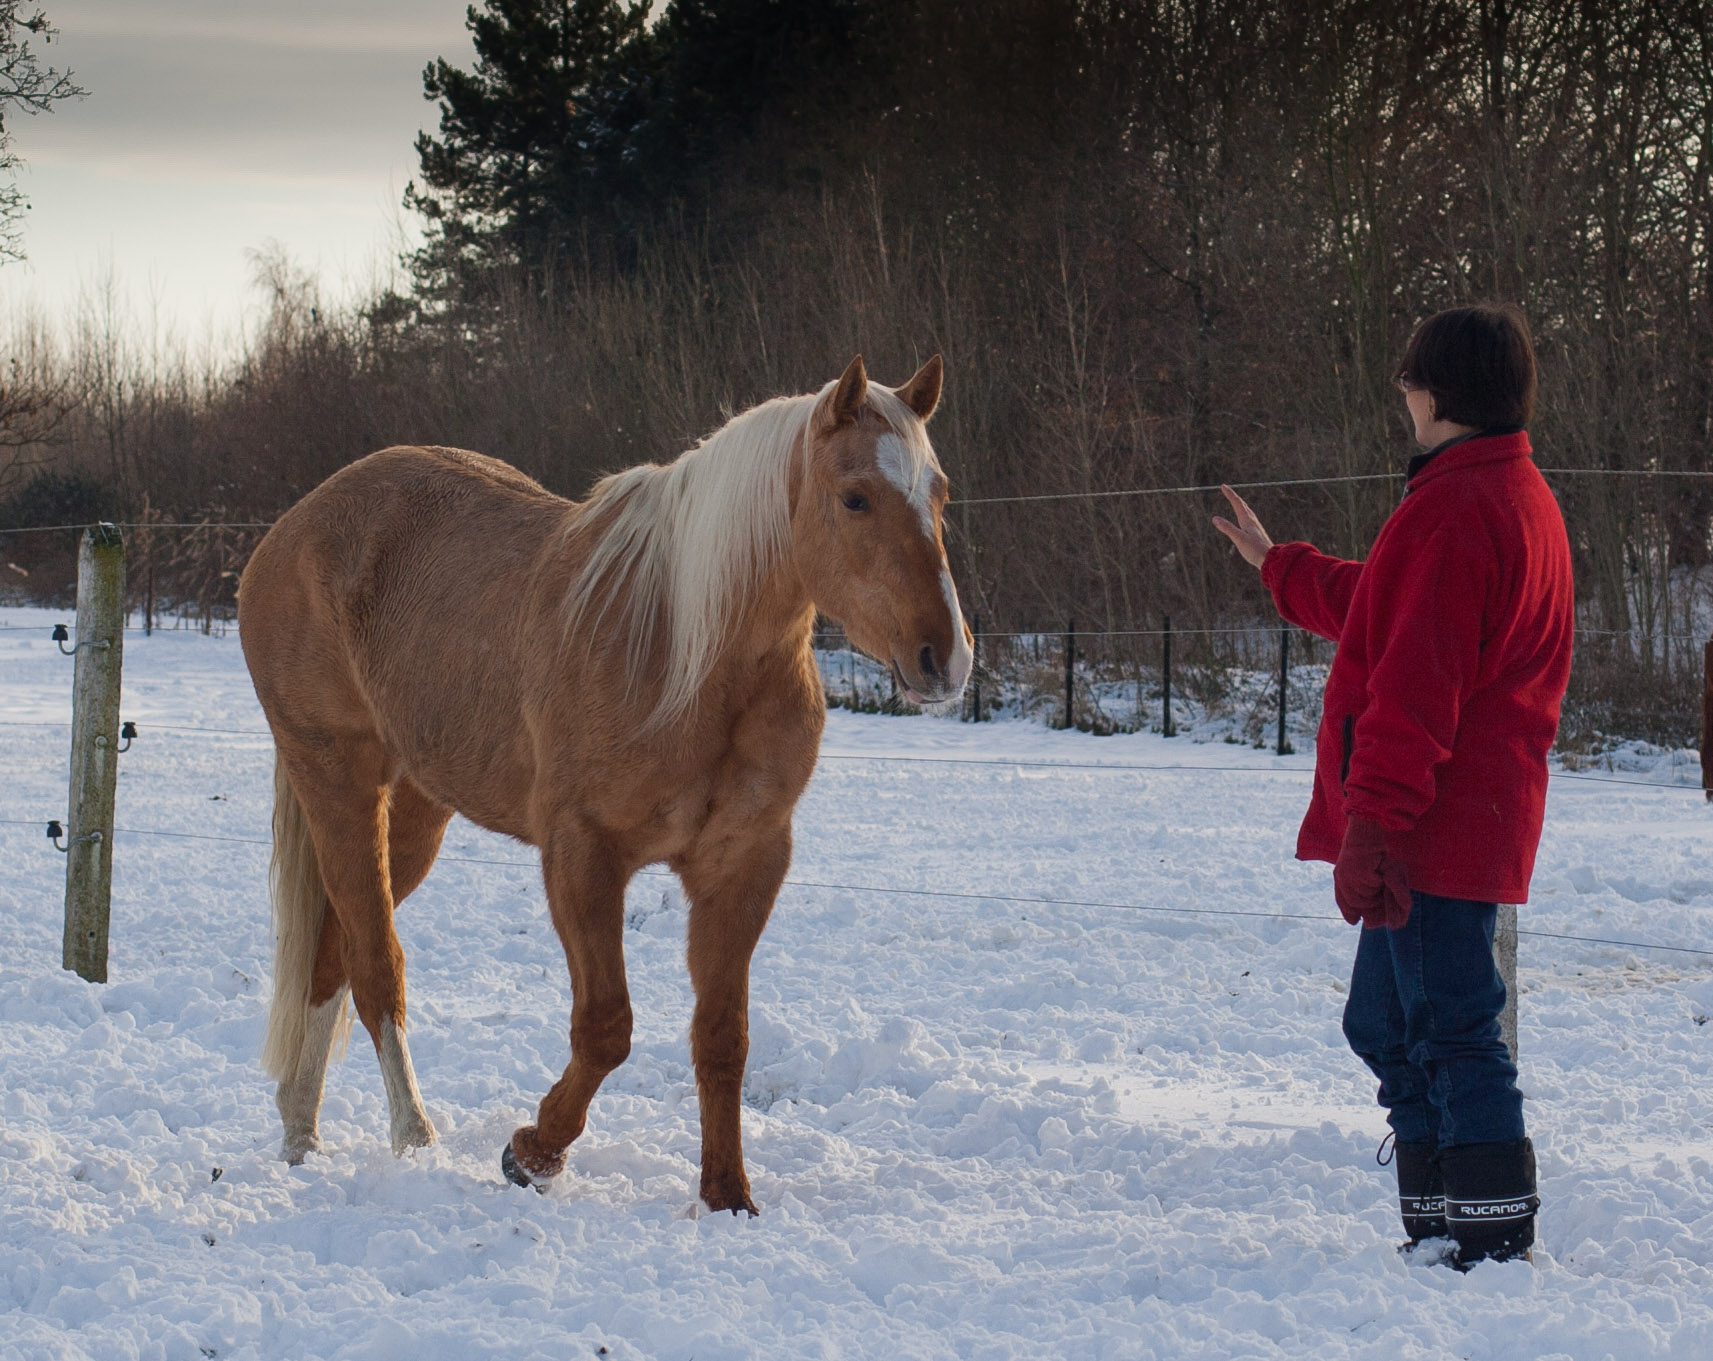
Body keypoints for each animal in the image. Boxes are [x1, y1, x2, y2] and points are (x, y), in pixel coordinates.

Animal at [236, 354, 972, 1212]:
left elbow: (722, 1035)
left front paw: (727, 1194)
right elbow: (606, 1026)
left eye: (938, 493)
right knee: (376, 964)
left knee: (333, 952)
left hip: (415, 810)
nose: (943, 658)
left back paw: (300, 1133)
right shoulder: (583, 855)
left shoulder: (742, 863)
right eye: (854, 495)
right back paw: (411, 1134)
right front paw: (531, 1152)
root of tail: (291, 530)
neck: (681, 649)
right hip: (338, 779)